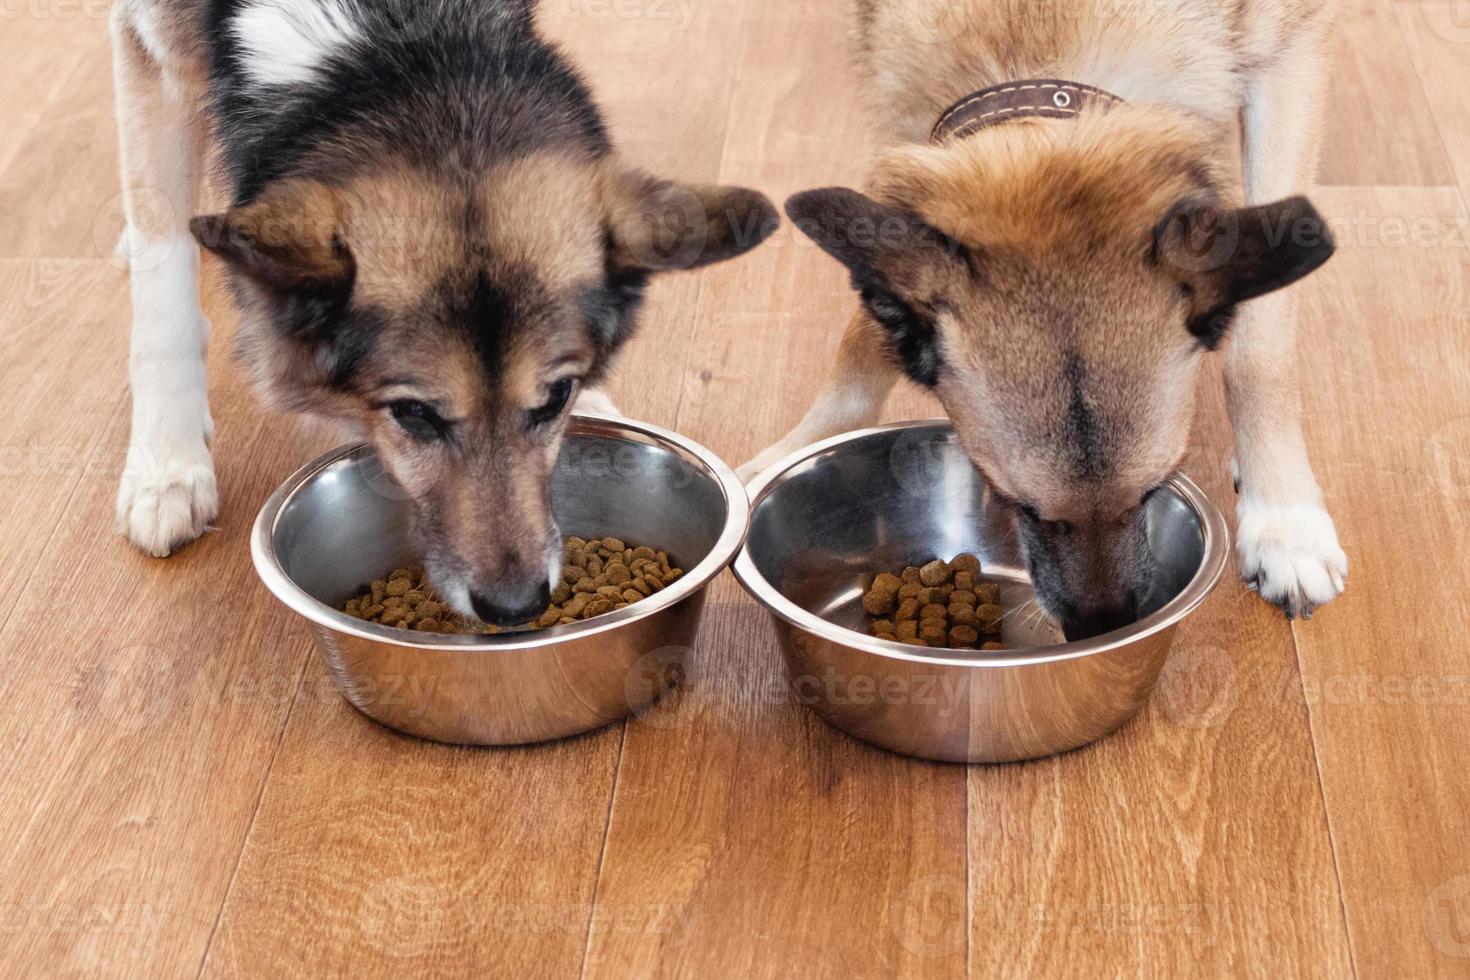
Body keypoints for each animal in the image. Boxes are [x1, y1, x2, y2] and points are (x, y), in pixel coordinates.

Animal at [111, 0, 782, 625]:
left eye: (555, 399)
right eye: (413, 413)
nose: (515, 608)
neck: (393, 42)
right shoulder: (150, 49)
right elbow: (163, 272)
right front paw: (166, 467)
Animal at [752, 0, 1346, 640]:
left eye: (1155, 489)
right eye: (1017, 504)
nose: (1102, 628)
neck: (1036, 38)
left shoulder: (1293, 55)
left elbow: (1260, 351)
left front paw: (1284, 518)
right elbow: (864, 340)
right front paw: (788, 452)